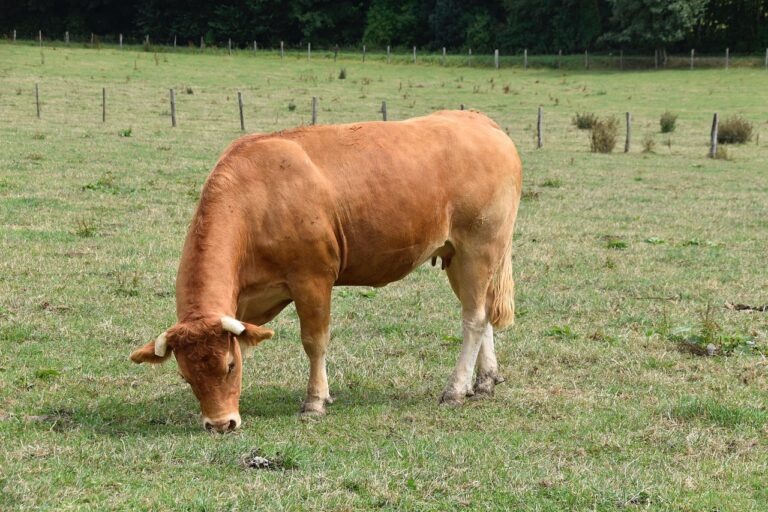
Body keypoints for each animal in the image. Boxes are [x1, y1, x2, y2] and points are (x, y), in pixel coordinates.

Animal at [130, 110, 522, 432]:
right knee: (481, 311)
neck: (255, 198)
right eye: (185, 375)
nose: (220, 424)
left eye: (229, 366)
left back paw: (455, 388)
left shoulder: (312, 278)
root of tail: (482, 122)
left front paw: (315, 400)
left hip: (478, 249)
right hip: (457, 256)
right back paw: (484, 380)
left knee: (473, 319)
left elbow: (314, 341)